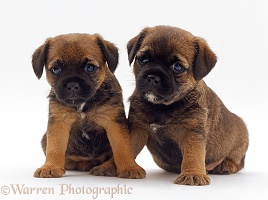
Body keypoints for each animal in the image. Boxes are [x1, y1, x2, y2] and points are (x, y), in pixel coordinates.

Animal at [32, 33, 146, 179]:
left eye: (90, 68)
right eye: (56, 70)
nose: (72, 84)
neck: (84, 105)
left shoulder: (114, 123)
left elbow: (123, 147)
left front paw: (129, 167)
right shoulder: (58, 123)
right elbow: (54, 147)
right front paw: (50, 166)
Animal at [127, 25, 249, 185]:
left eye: (177, 67)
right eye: (143, 59)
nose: (152, 77)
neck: (163, 107)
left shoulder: (192, 133)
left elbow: (193, 155)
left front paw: (193, 174)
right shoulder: (138, 127)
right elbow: (127, 147)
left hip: (239, 146)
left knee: (239, 163)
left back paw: (226, 165)